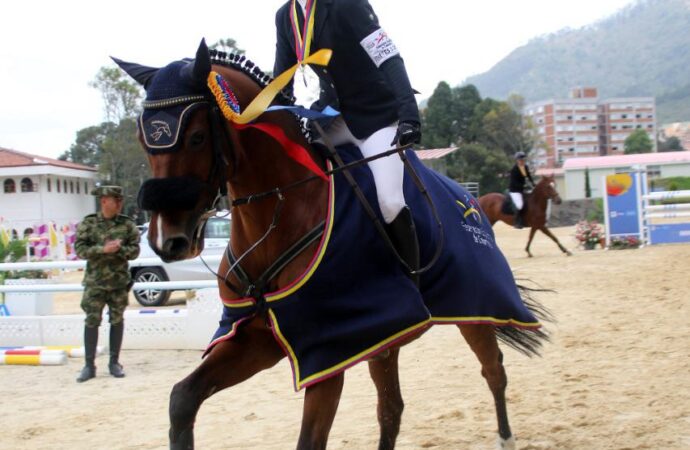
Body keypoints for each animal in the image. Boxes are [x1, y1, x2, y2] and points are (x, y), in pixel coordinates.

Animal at [114, 39, 548, 450]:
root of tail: (470, 199)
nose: (167, 240)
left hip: (474, 307)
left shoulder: (329, 348)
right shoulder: (261, 336)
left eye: (197, 137)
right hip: (386, 337)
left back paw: (506, 438)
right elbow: (182, 398)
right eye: (143, 140)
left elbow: (310, 440)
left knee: (493, 370)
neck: (281, 212)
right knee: (391, 408)